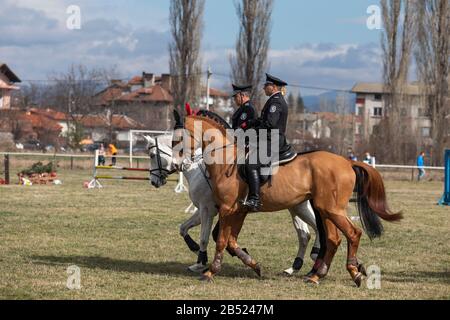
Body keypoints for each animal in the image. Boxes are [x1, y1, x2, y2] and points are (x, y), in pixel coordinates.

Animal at [145, 134, 320, 274]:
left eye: (153, 155)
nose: (153, 181)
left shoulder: (207, 209)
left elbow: (204, 238)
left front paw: (201, 262)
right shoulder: (205, 210)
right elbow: (183, 228)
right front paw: (197, 251)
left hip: (301, 207)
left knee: (316, 229)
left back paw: (314, 257)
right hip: (296, 207)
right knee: (305, 234)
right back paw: (294, 267)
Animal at [174, 113, 402, 288]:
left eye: (177, 138)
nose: (178, 165)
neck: (226, 157)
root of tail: (347, 162)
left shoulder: (227, 209)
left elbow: (222, 240)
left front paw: (210, 272)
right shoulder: (237, 211)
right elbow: (231, 241)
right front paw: (254, 265)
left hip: (331, 209)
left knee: (352, 234)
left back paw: (353, 272)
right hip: (325, 210)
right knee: (332, 239)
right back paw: (316, 275)